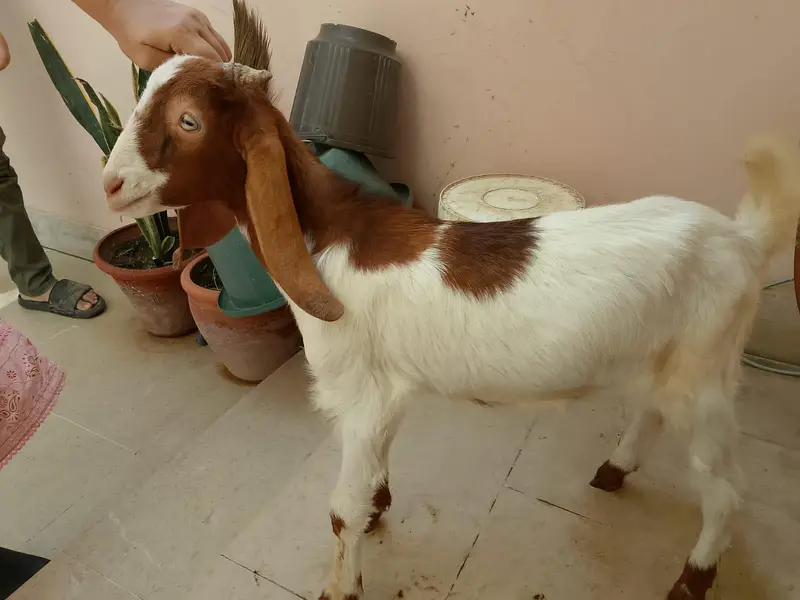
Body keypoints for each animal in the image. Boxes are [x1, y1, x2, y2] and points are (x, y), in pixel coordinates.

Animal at [101, 53, 800, 600]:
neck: (325, 236)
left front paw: (340, 586)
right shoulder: (387, 393)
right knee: (653, 413)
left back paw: (692, 579)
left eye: (189, 121)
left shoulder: (360, 396)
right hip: (664, 358)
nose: (109, 184)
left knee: (726, 489)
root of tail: (742, 239)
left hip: (705, 373)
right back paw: (616, 468)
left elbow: (339, 511)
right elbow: (377, 469)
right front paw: (380, 508)